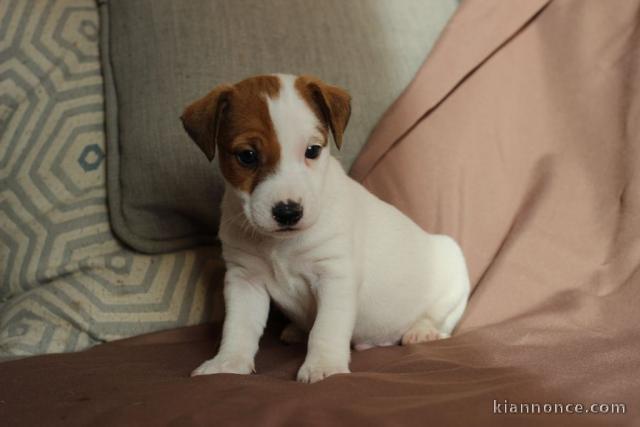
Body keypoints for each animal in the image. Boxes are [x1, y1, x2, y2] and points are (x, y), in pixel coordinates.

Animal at [180, 74, 470, 384]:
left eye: (312, 151)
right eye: (247, 156)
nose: (288, 211)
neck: (280, 245)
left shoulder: (335, 276)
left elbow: (326, 329)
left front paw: (324, 366)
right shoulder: (245, 279)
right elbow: (238, 327)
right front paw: (227, 363)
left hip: (452, 270)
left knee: (441, 320)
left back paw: (421, 330)